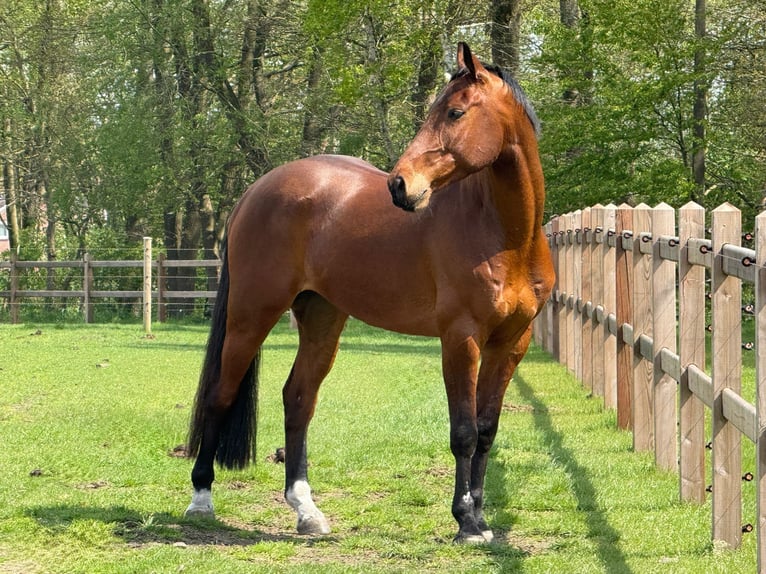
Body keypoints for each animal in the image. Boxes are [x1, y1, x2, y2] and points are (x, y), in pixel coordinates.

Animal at [185, 42, 555, 544]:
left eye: (455, 112)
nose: (400, 185)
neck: (506, 237)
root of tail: (257, 189)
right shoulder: (461, 339)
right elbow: (462, 432)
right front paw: (464, 521)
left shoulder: (511, 343)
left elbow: (485, 431)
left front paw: (480, 518)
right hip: (251, 315)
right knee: (220, 395)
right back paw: (201, 498)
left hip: (321, 318)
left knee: (298, 399)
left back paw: (306, 510)